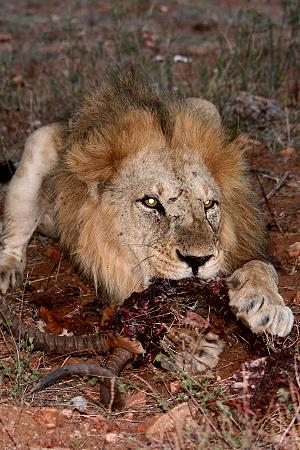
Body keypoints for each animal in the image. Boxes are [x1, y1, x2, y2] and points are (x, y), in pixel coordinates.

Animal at [0, 70, 294, 346]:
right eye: (151, 202)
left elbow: (259, 266)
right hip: (39, 144)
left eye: (208, 204)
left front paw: (267, 306)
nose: (198, 261)